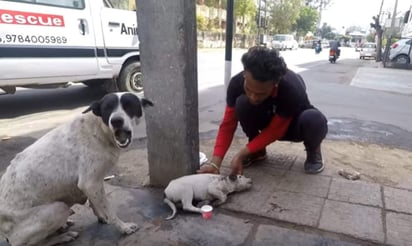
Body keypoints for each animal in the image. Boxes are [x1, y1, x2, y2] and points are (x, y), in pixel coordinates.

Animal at [0, 92, 153, 246]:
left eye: (129, 105)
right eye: (107, 108)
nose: (116, 121)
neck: (99, 129)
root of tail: (6, 234)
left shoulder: (92, 183)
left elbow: (96, 203)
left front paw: (102, 217)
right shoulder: (90, 183)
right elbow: (110, 210)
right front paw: (123, 227)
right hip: (58, 209)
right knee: (39, 243)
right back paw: (63, 236)